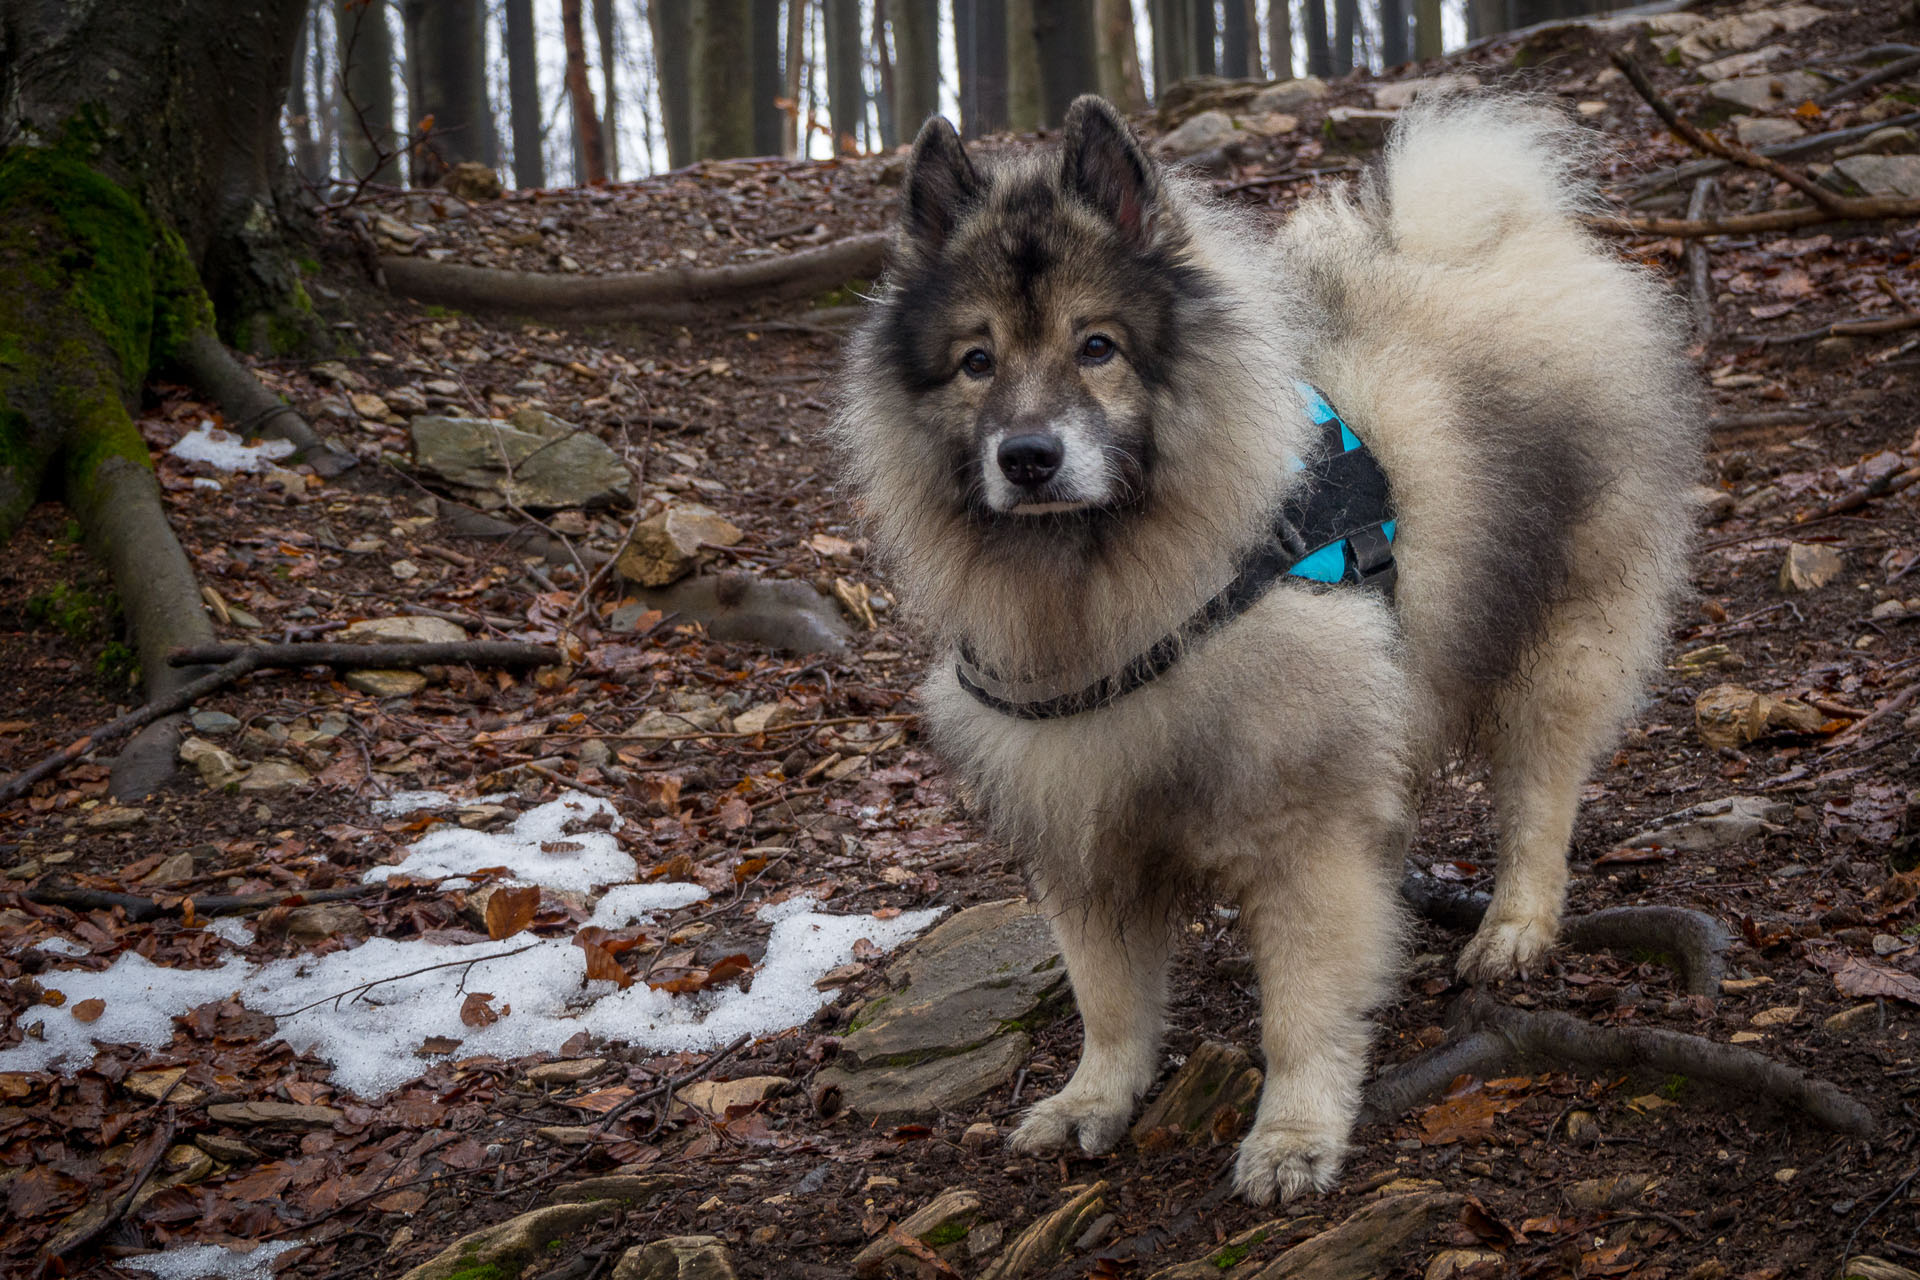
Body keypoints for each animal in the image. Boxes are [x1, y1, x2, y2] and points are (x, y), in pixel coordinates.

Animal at [833, 92, 1704, 1205]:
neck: (1109, 588)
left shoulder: (1300, 831)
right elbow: (1108, 998)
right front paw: (1093, 1097)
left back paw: (1515, 925)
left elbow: (1299, 1006)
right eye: (976, 361)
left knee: (1539, 797)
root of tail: (1504, 243)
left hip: (1559, 642)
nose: (1027, 457)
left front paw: (1294, 1133)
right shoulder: (1082, 831)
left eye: (1097, 346)